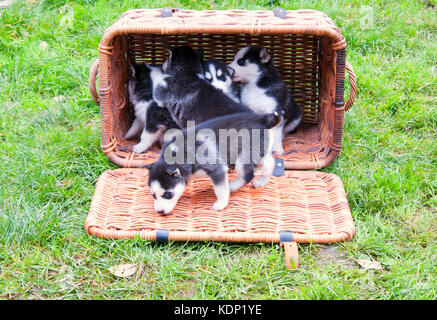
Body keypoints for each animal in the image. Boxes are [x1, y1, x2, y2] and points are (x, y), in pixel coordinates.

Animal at [143, 110, 282, 215]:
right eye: (153, 195)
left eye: (167, 194)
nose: (159, 212)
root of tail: (262, 119)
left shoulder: (216, 169)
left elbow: (221, 189)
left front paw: (221, 204)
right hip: (259, 150)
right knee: (270, 162)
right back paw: (262, 180)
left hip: (243, 157)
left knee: (248, 175)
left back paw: (232, 186)